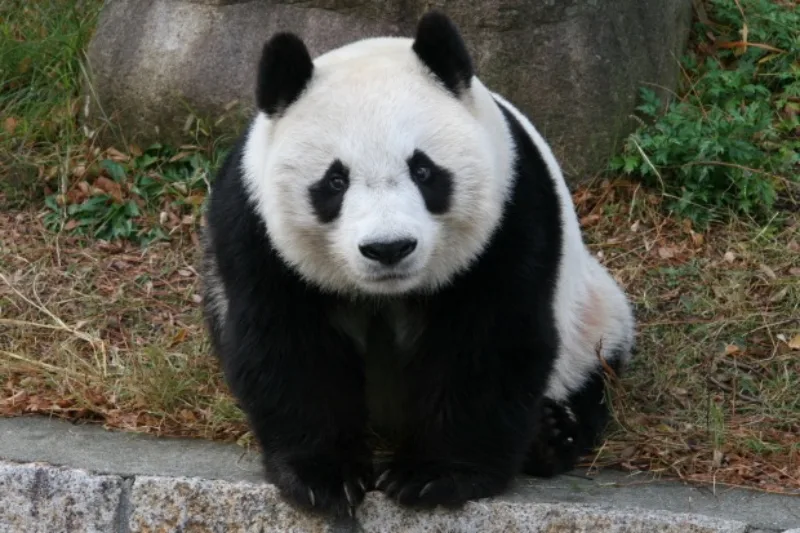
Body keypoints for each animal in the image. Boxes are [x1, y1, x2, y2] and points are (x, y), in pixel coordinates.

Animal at [200, 10, 635, 519]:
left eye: (424, 170)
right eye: (334, 181)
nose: (389, 248)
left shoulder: (510, 215)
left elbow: (486, 341)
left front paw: (432, 476)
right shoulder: (256, 228)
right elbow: (287, 344)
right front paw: (325, 476)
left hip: (590, 314)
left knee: (593, 363)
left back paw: (552, 434)